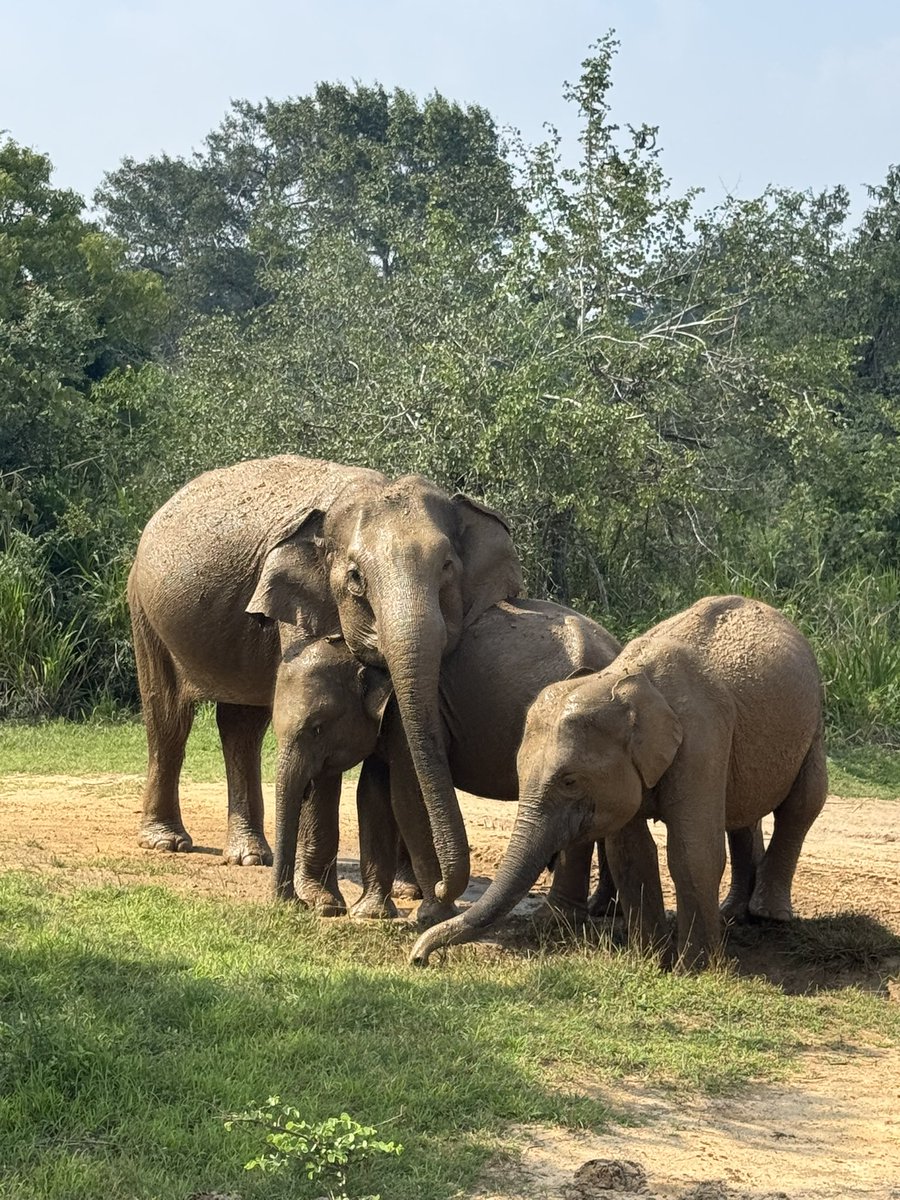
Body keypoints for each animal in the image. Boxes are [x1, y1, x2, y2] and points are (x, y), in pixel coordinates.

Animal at [127, 454, 522, 903]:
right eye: (355, 577)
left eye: (447, 568)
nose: (438, 888)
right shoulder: (299, 603)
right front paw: (321, 899)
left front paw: (407, 892)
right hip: (145, 609)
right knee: (169, 717)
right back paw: (167, 842)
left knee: (242, 725)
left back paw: (250, 856)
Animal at [269, 599, 622, 922]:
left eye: (317, 728)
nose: (293, 905)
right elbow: (372, 796)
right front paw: (369, 914)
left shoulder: (412, 722)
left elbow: (406, 797)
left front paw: (431, 913)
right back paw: (603, 909)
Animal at [410, 595, 827, 969]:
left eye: (570, 781)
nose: (419, 958)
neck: (625, 681)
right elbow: (630, 852)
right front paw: (650, 961)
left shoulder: (703, 739)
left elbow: (693, 850)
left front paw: (696, 968)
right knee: (742, 816)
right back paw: (734, 913)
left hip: (813, 720)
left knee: (804, 801)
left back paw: (768, 915)